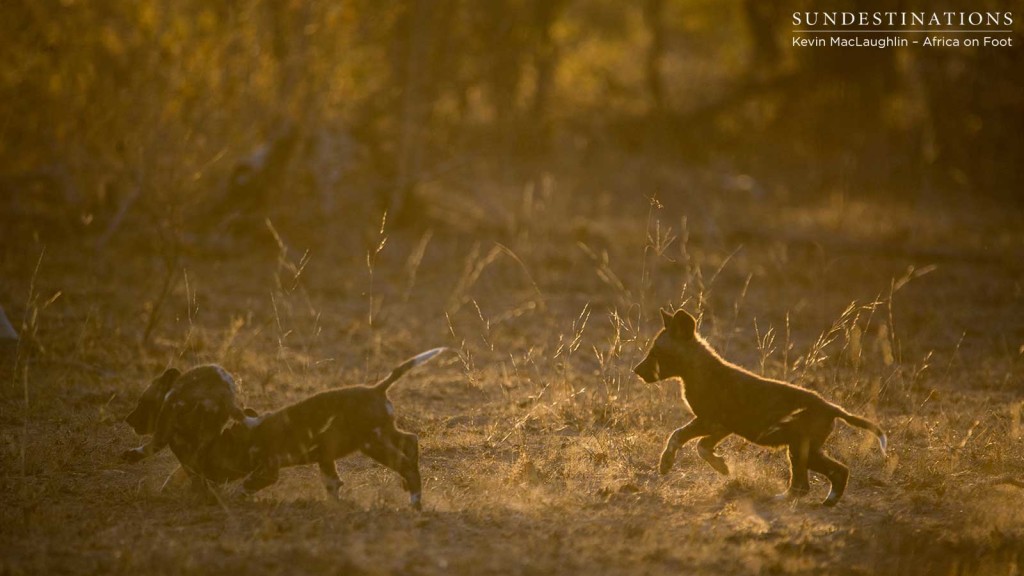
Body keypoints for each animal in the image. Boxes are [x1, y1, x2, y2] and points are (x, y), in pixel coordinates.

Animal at [630, 307, 888, 504]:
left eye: (656, 353)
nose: (636, 370)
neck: (697, 371)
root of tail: (832, 407)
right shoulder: (720, 427)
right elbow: (701, 445)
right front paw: (721, 466)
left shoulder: (710, 422)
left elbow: (678, 437)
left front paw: (666, 464)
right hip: (803, 450)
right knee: (829, 475)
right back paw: (825, 501)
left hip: (800, 449)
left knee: (813, 481)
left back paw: (781, 499)